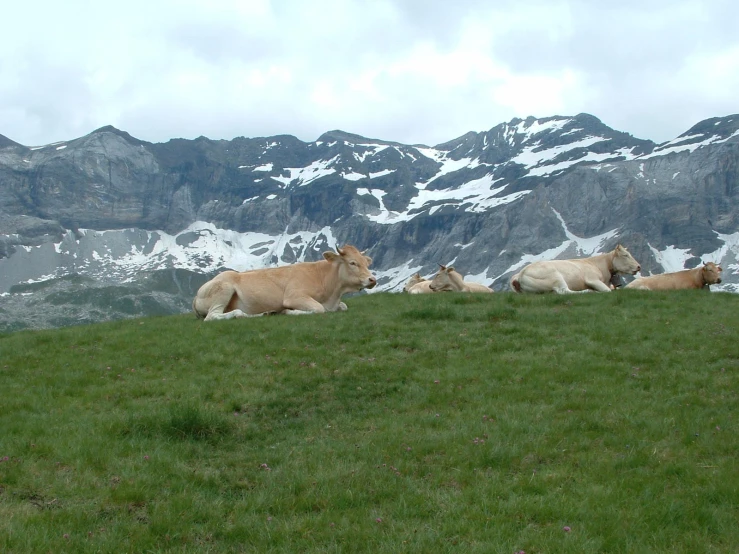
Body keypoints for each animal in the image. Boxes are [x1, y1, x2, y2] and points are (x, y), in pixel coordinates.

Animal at [192, 243, 376, 320]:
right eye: (352, 263)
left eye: (367, 263)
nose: (372, 279)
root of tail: (196, 295)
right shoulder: (294, 296)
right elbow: (318, 309)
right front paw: (288, 311)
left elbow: (343, 307)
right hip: (224, 287)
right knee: (212, 316)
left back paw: (266, 313)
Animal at [508, 243, 640, 294]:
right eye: (625, 255)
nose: (639, 266)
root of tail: (519, 275)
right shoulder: (592, 279)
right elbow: (608, 290)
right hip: (555, 276)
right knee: (564, 291)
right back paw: (588, 291)